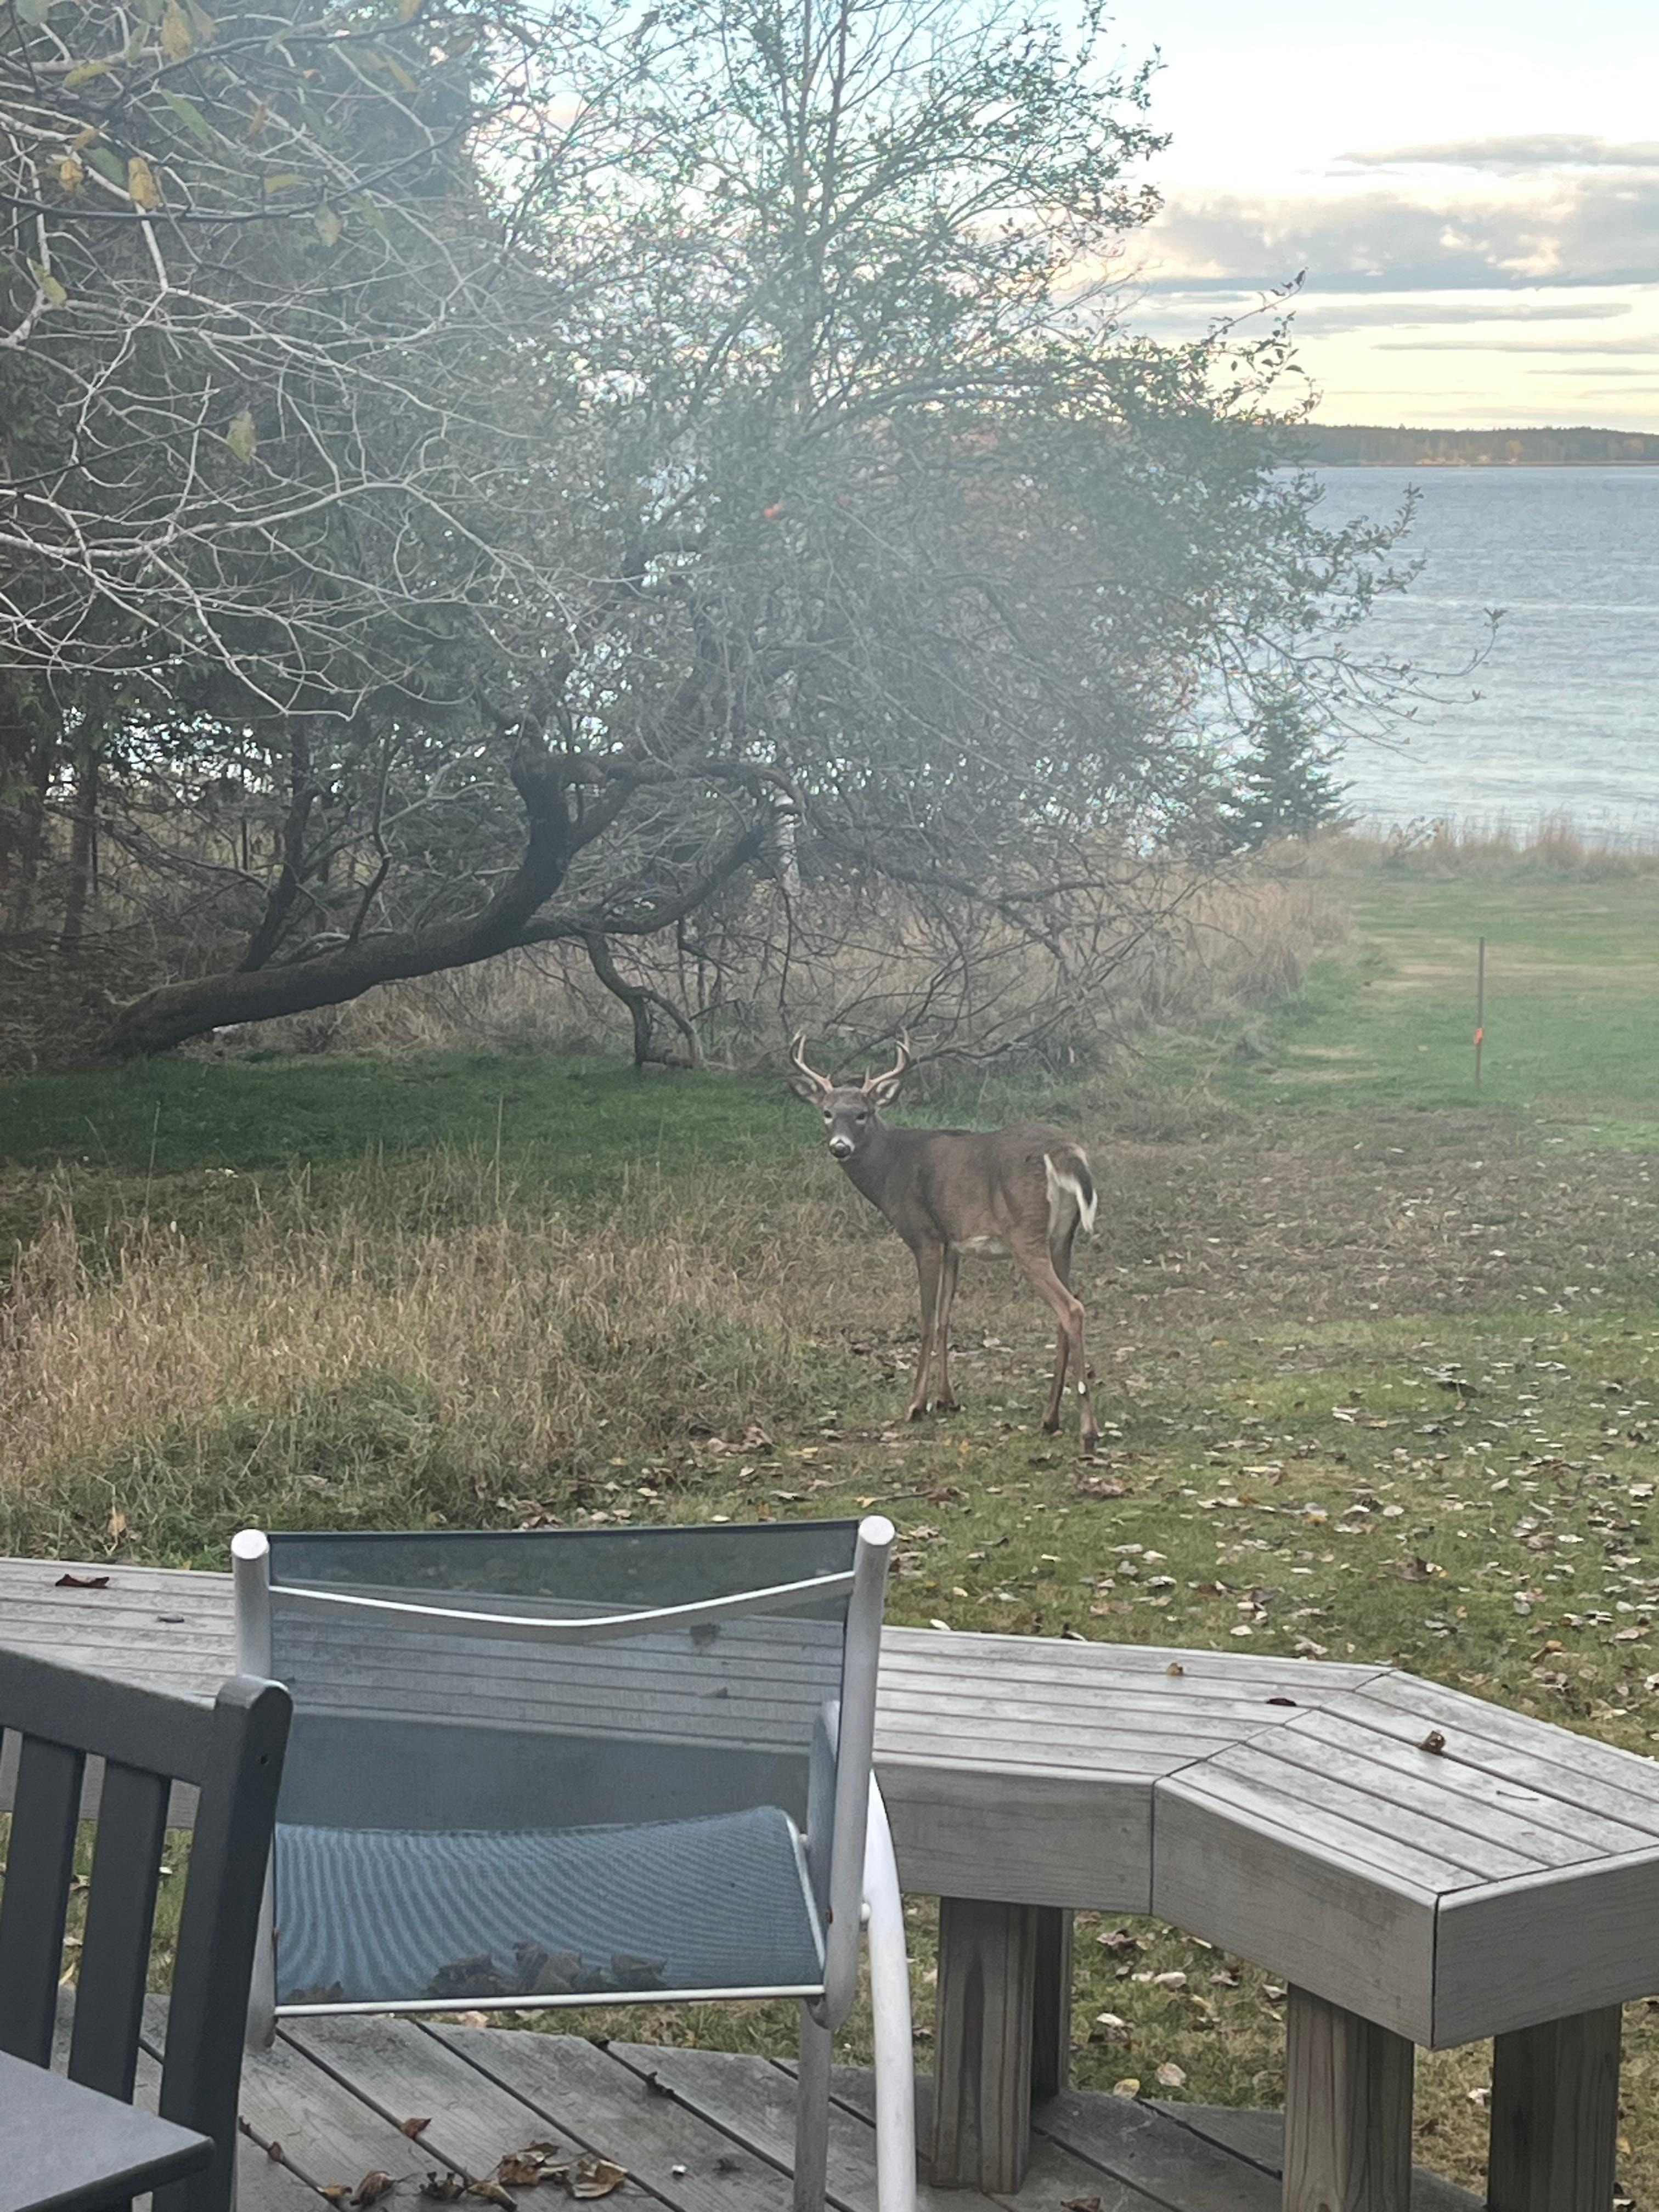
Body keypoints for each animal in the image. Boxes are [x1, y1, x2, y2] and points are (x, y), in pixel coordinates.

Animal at [788, 1035, 1100, 1453]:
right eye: (826, 1112)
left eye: (862, 1114)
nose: (840, 1147)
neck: (890, 1170)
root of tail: (1066, 1153)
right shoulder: (953, 1243)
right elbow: (946, 1318)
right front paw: (946, 1399)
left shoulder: (925, 1236)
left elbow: (926, 1319)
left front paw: (916, 1405)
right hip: (1063, 1238)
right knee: (1062, 1314)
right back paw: (1049, 1419)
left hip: (1026, 1234)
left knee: (1072, 1309)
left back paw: (1087, 1430)